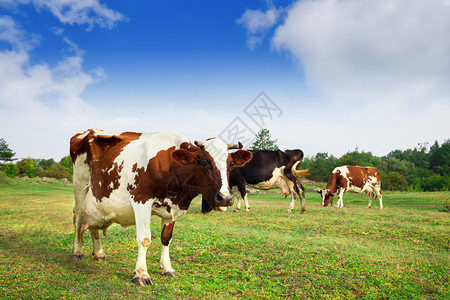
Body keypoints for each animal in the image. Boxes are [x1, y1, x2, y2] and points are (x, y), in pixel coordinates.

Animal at [71, 129, 253, 286]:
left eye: (231, 165)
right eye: (204, 162)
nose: (225, 198)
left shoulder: (172, 208)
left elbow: (166, 238)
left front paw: (167, 268)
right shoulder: (141, 199)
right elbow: (144, 239)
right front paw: (142, 274)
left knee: (93, 226)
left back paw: (99, 252)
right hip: (79, 185)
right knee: (78, 219)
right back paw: (77, 251)